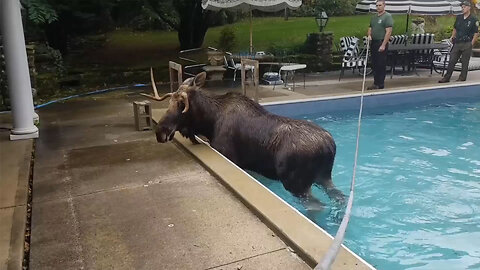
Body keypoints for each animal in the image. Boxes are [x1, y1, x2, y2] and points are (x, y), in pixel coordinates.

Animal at [142, 69, 344, 205]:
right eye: (170, 102)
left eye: (181, 104)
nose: (160, 131)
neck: (209, 122)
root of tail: (330, 146)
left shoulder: (230, 156)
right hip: (324, 177)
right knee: (339, 197)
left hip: (297, 184)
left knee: (317, 206)